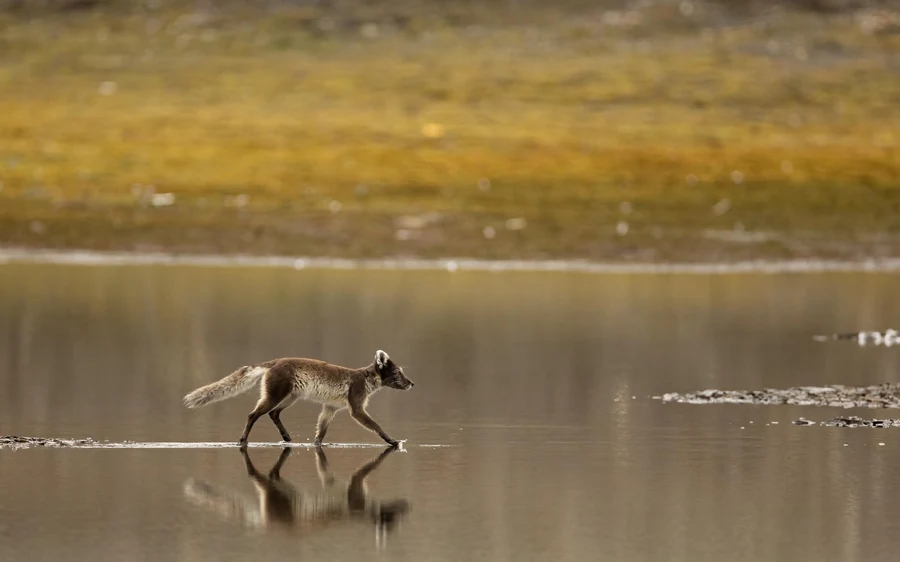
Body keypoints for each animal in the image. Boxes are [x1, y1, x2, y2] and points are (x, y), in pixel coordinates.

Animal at [182, 350, 414, 447]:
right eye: (397, 373)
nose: (412, 384)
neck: (365, 378)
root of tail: (274, 362)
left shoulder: (330, 407)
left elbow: (321, 430)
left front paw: (318, 444)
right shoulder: (356, 407)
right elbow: (376, 425)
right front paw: (392, 440)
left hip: (290, 397)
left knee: (273, 414)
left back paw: (287, 438)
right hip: (276, 395)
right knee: (253, 414)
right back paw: (243, 439)